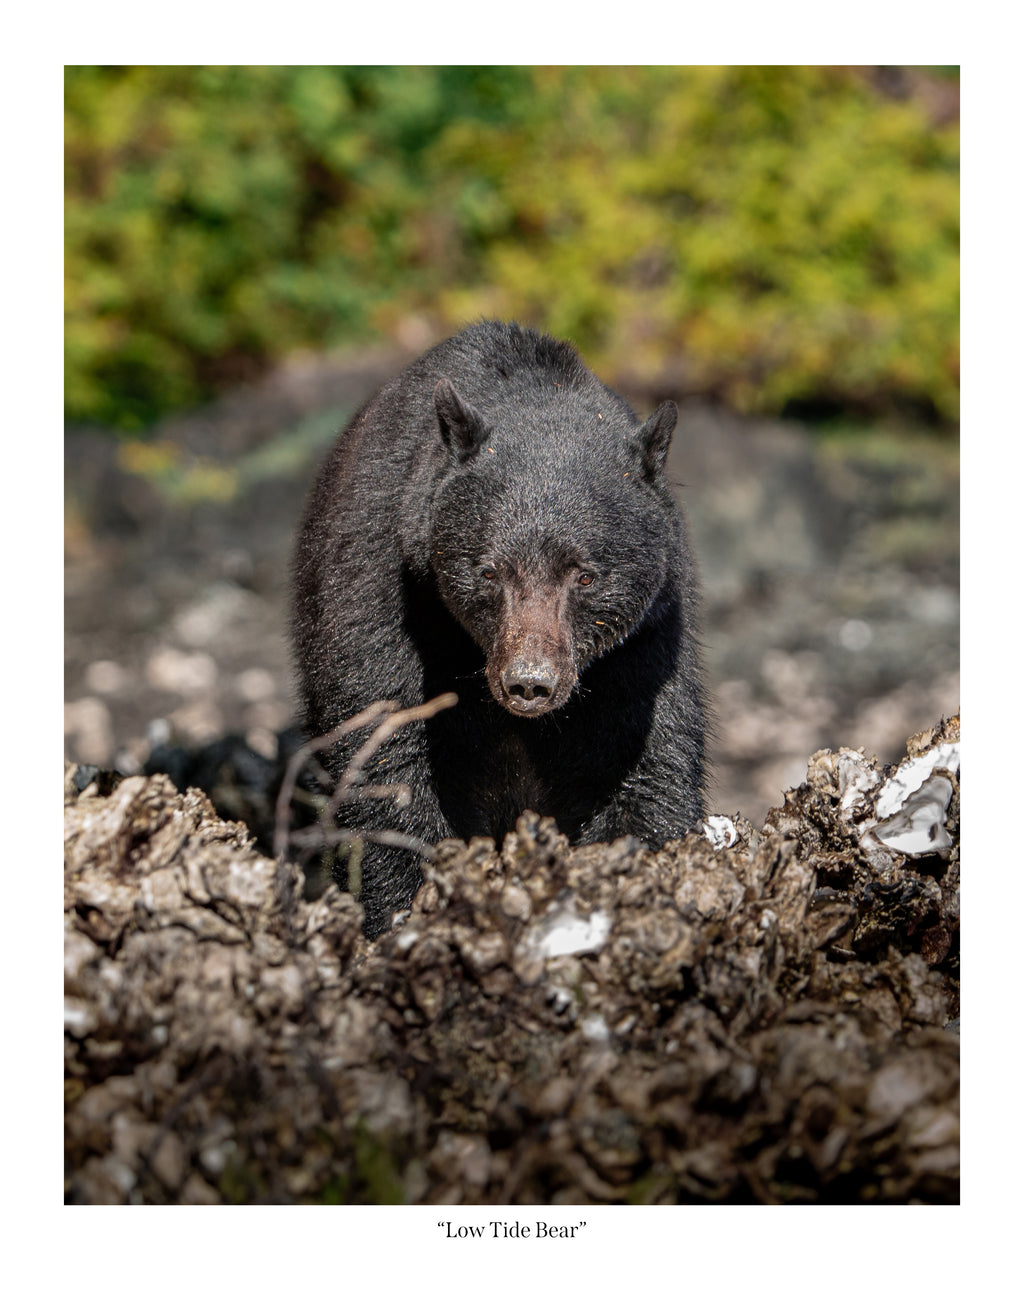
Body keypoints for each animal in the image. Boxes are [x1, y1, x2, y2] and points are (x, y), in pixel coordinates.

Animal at [291, 320, 706, 937]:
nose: (529, 682)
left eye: (584, 575)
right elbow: (382, 746)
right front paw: (407, 905)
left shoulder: (649, 633)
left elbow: (649, 759)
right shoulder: (382, 579)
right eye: (489, 570)